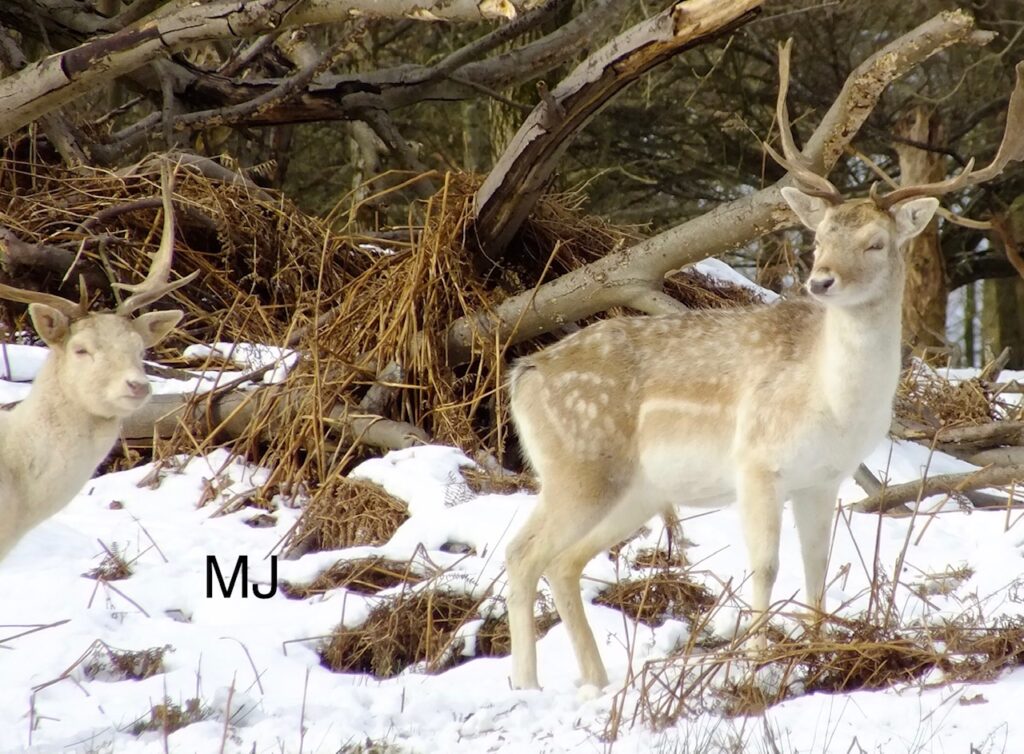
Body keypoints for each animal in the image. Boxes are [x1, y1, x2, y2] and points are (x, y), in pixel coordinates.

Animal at [505, 42, 1024, 692]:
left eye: (876, 243)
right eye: (820, 235)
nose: (820, 280)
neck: (834, 404)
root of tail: (522, 375)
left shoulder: (824, 478)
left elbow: (818, 562)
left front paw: (823, 652)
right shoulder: (755, 462)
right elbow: (767, 564)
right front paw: (753, 665)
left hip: (634, 490)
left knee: (562, 562)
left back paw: (597, 685)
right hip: (579, 468)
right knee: (523, 556)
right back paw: (527, 686)